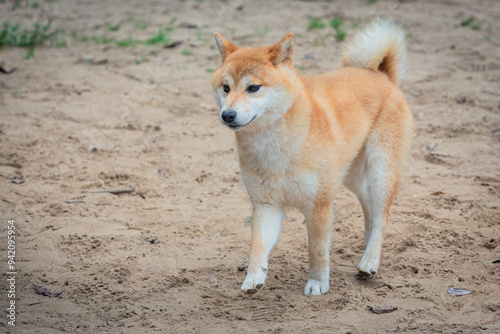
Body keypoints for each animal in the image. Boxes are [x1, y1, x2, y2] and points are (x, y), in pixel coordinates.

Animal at [209, 20, 412, 294]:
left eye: (253, 88)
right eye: (226, 87)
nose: (227, 115)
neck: (276, 147)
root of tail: (382, 75)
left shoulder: (318, 205)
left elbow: (317, 250)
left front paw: (317, 283)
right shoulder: (266, 205)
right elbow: (257, 246)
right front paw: (253, 278)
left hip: (381, 173)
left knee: (382, 217)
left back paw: (371, 261)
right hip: (352, 177)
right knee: (369, 210)